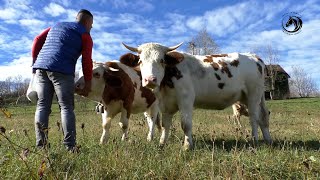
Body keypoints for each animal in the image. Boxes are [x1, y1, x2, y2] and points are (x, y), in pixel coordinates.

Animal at [121, 41, 272, 150]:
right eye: (140, 61)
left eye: (162, 60)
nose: (150, 80)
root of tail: (254, 56)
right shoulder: (165, 104)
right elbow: (165, 125)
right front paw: (162, 143)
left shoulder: (186, 99)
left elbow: (186, 124)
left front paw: (187, 146)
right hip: (251, 97)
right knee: (263, 117)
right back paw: (267, 140)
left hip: (253, 95)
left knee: (254, 118)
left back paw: (254, 140)